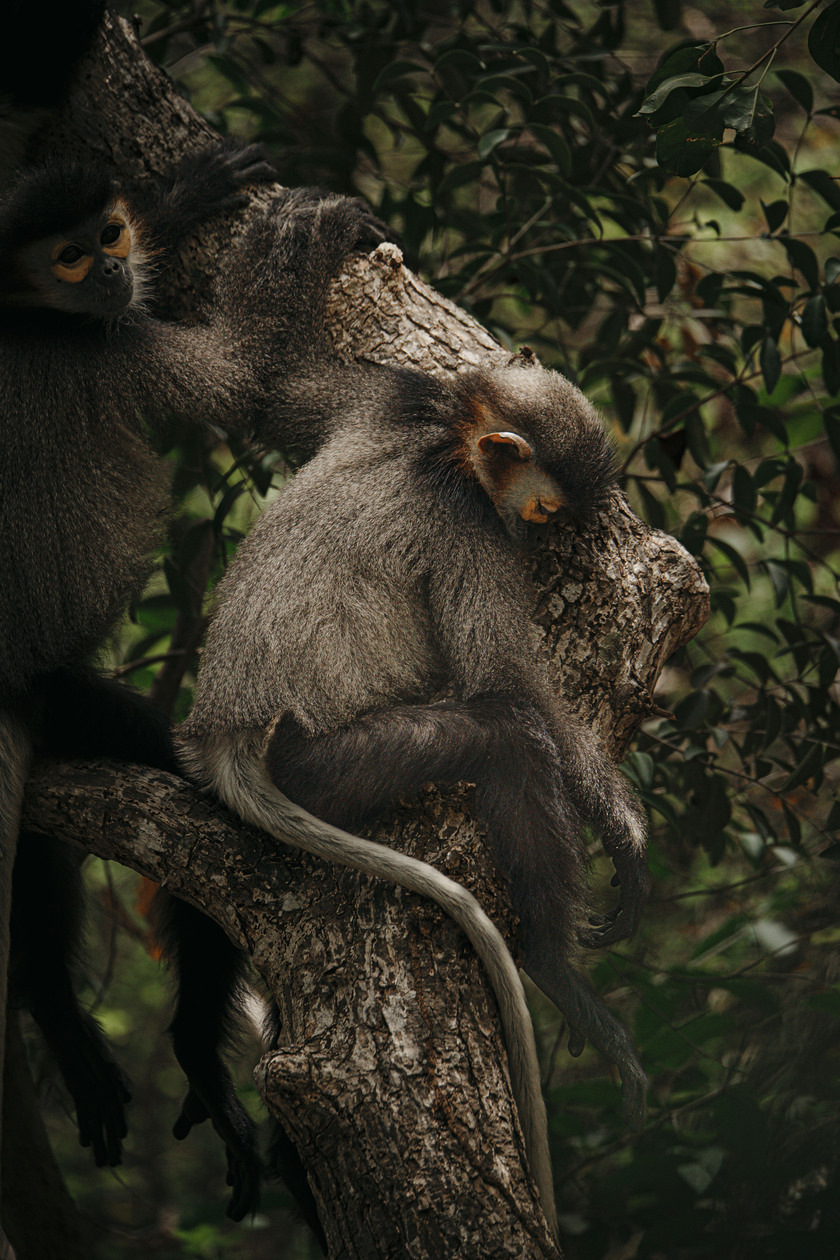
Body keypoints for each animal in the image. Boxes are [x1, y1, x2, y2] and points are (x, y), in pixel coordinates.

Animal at [177, 199, 649, 1239]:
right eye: (543, 516)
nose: (547, 541)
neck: (446, 438)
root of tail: (227, 733)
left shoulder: (385, 399)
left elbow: (265, 392)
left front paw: (305, 237)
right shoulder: (470, 522)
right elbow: (509, 686)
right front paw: (625, 831)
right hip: (326, 761)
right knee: (508, 742)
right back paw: (553, 964)